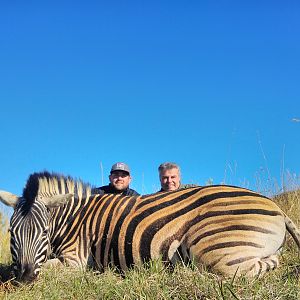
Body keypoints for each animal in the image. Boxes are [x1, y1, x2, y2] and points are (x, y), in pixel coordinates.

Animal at [0, 171, 300, 282]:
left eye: (44, 232)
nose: (25, 276)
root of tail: (277, 208)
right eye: (11, 233)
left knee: (250, 270)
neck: (73, 219)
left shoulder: (76, 261)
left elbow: (51, 268)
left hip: (212, 250)